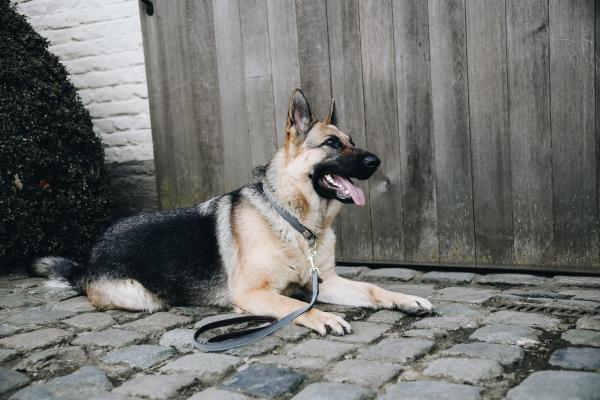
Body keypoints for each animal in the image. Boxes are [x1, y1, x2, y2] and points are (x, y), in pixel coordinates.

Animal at [33, 89, 433, 335]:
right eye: (333, 143)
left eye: (352, 141)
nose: (375, 161)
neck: (295, 222)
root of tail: (88, 259)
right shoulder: (254, 295)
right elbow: (294, 306)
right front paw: (323, 316)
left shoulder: (327, 282)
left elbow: (373, 288)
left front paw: (405, 299)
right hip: (144, 298)